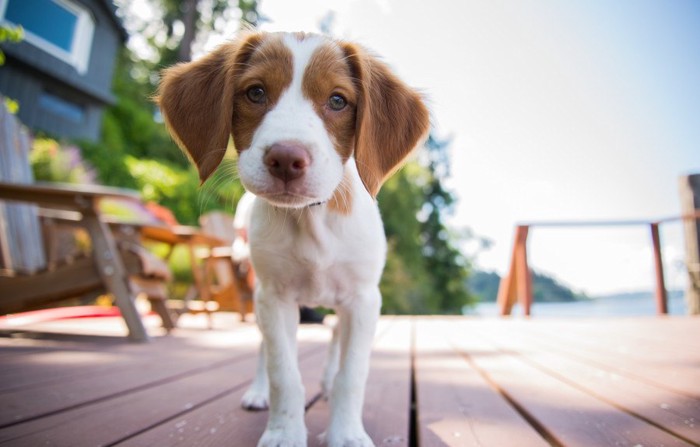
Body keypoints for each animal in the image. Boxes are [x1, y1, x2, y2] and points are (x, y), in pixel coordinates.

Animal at [158, 31, 430, 447]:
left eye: (337, 100)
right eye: (255, 92)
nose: (286, 158)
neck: (310, 218)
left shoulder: (363, 299)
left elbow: (352, 374)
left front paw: (347, 433)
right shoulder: (274, 296)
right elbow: (282, 372)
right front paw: (284, 431)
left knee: (334, 339)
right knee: (264, 348)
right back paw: (258, 392)